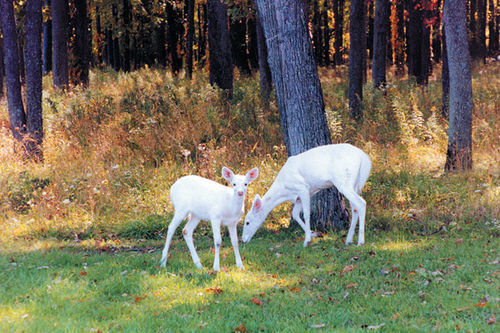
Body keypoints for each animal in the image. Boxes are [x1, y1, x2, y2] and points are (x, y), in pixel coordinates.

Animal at [242, 143, 372, 246]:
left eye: (247, 222)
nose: (243, 240)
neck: (284, 190)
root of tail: (364, 158)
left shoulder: (303, 188)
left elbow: (306, 214)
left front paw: (307, 240)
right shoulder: (299, 197)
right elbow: (295, 214)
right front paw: (315, 234)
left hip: (343, 181)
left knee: (362, 203)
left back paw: (360, 241)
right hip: (353, 184)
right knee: (355, 208)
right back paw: (349, 240)